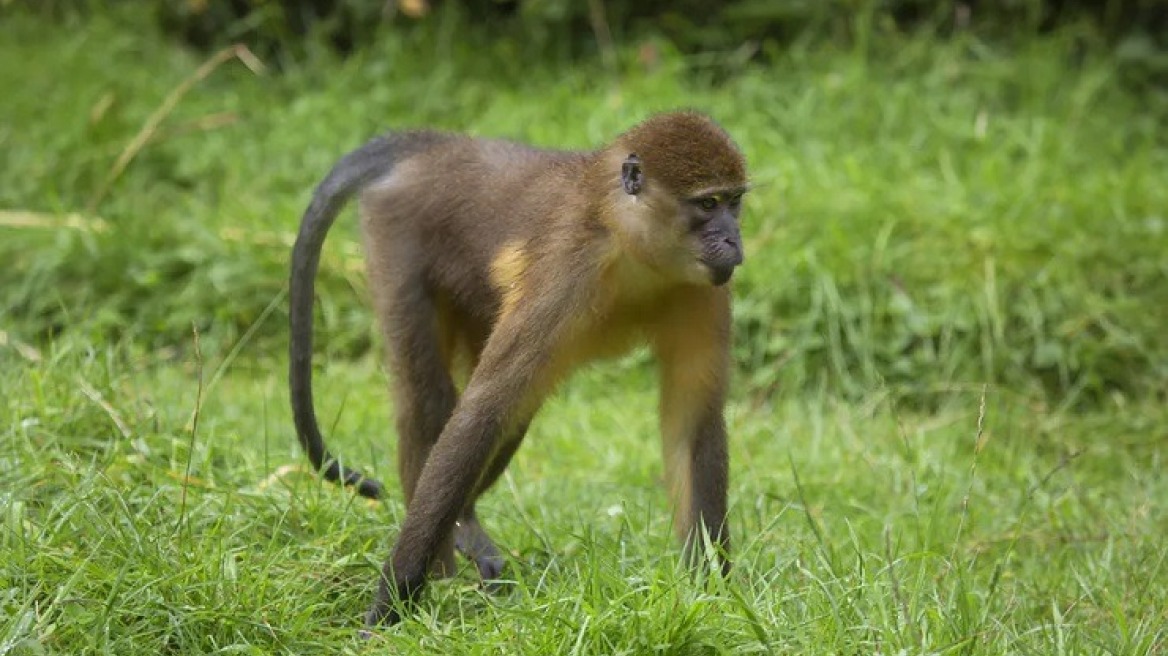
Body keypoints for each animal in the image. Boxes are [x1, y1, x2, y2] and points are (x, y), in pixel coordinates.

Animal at [288, 109, 752, 625]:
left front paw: (713, 595)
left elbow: (694, 421)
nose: (733, 239)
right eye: (708, 204)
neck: (631, 244)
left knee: (515, 413)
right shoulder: (567, 270)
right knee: (431, 396)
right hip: (396, 233)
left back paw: (461, 535)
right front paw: (391, 602)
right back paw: (451, 553)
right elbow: (482, 411)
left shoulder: (706, 290)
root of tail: (438, 147)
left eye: (733, 202)